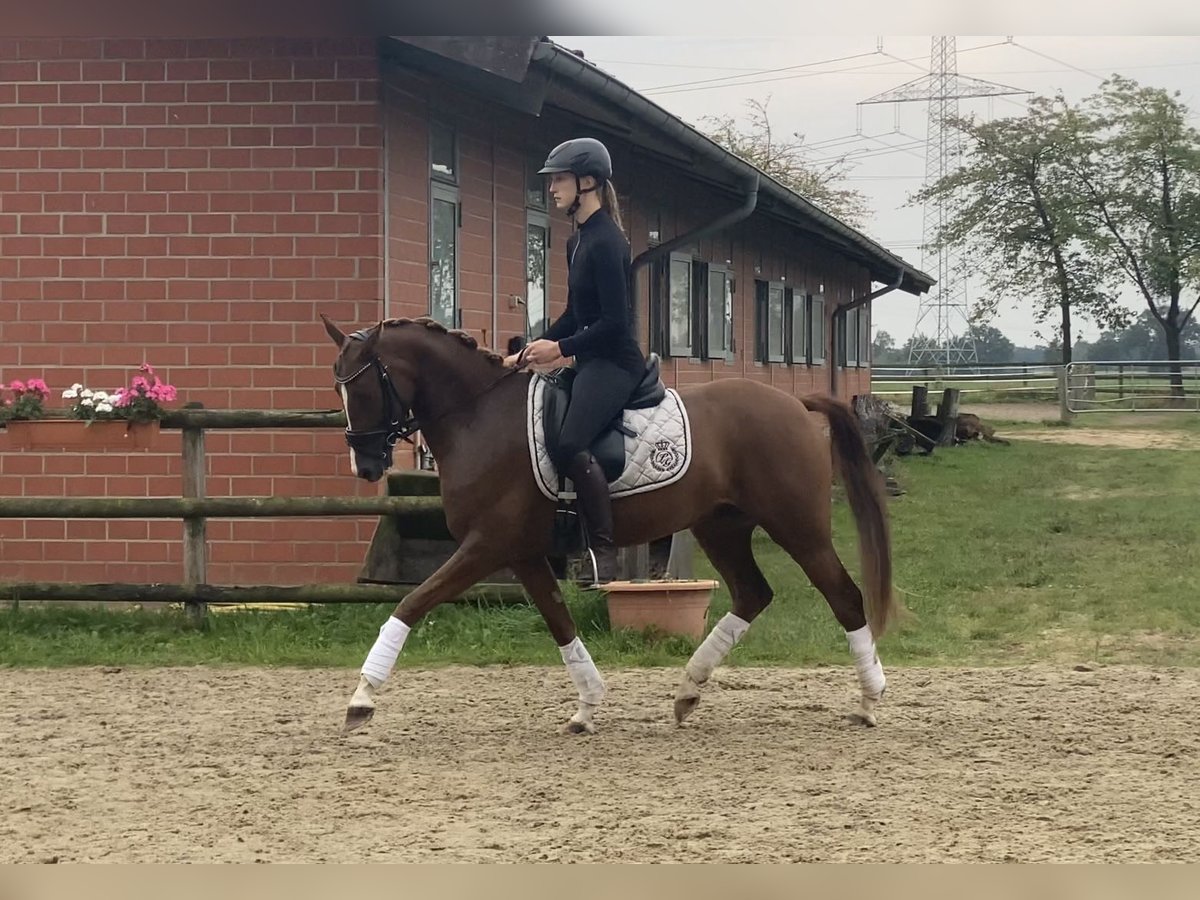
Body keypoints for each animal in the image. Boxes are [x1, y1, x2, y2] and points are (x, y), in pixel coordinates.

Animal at [324, 314, 897, 734]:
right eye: (339, 389)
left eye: (364, 388)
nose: (365, 466)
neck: (479, 416)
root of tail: (795, 403)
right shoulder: (521, 552)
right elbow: (560, 621)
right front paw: (587, 706)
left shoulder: (486, 545)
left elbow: (411, 603)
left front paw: (361, 699)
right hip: (721, 527)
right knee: (753, 594)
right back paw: (687, 692)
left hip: (797, 527)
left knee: (844, 596)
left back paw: (869, 702)